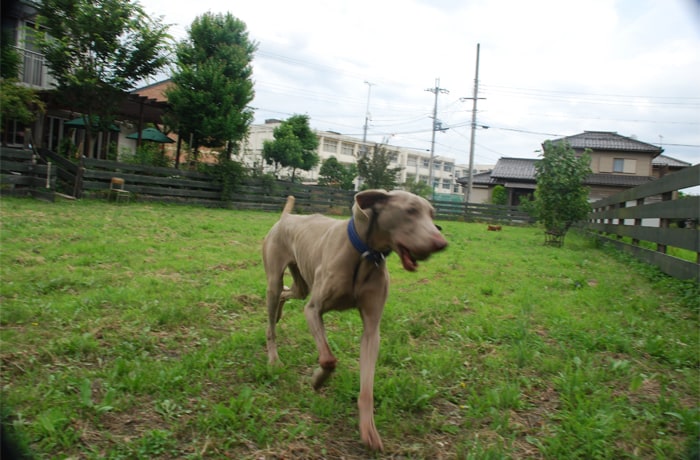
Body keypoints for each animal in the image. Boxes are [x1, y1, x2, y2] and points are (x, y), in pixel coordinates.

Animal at [262, 189, 448, 452]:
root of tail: (287, 217)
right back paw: (274, 359)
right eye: (410, 211)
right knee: (272, 318)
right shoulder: (313, 310)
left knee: (288, 292)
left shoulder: (372, 329)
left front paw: (368, 430)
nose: (441, 243)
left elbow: (367, 386)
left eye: (432, 214)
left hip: (301, 283)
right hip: (274, 279)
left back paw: (279, 315)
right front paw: (317, 380)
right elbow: (328, 358)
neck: (365, 254)